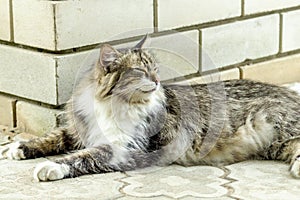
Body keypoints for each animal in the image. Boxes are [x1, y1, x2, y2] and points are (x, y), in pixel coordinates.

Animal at [0, 35, 300, 181]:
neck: (110, 105)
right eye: (140, 71)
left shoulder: (125, 148)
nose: (156, 81)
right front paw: (19, 147)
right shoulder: (79, 129)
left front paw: (51, 167)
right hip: (277, 143)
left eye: (154, 69)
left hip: (282, 127)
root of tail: (289, 92)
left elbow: (83, 157)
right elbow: (54, 137)